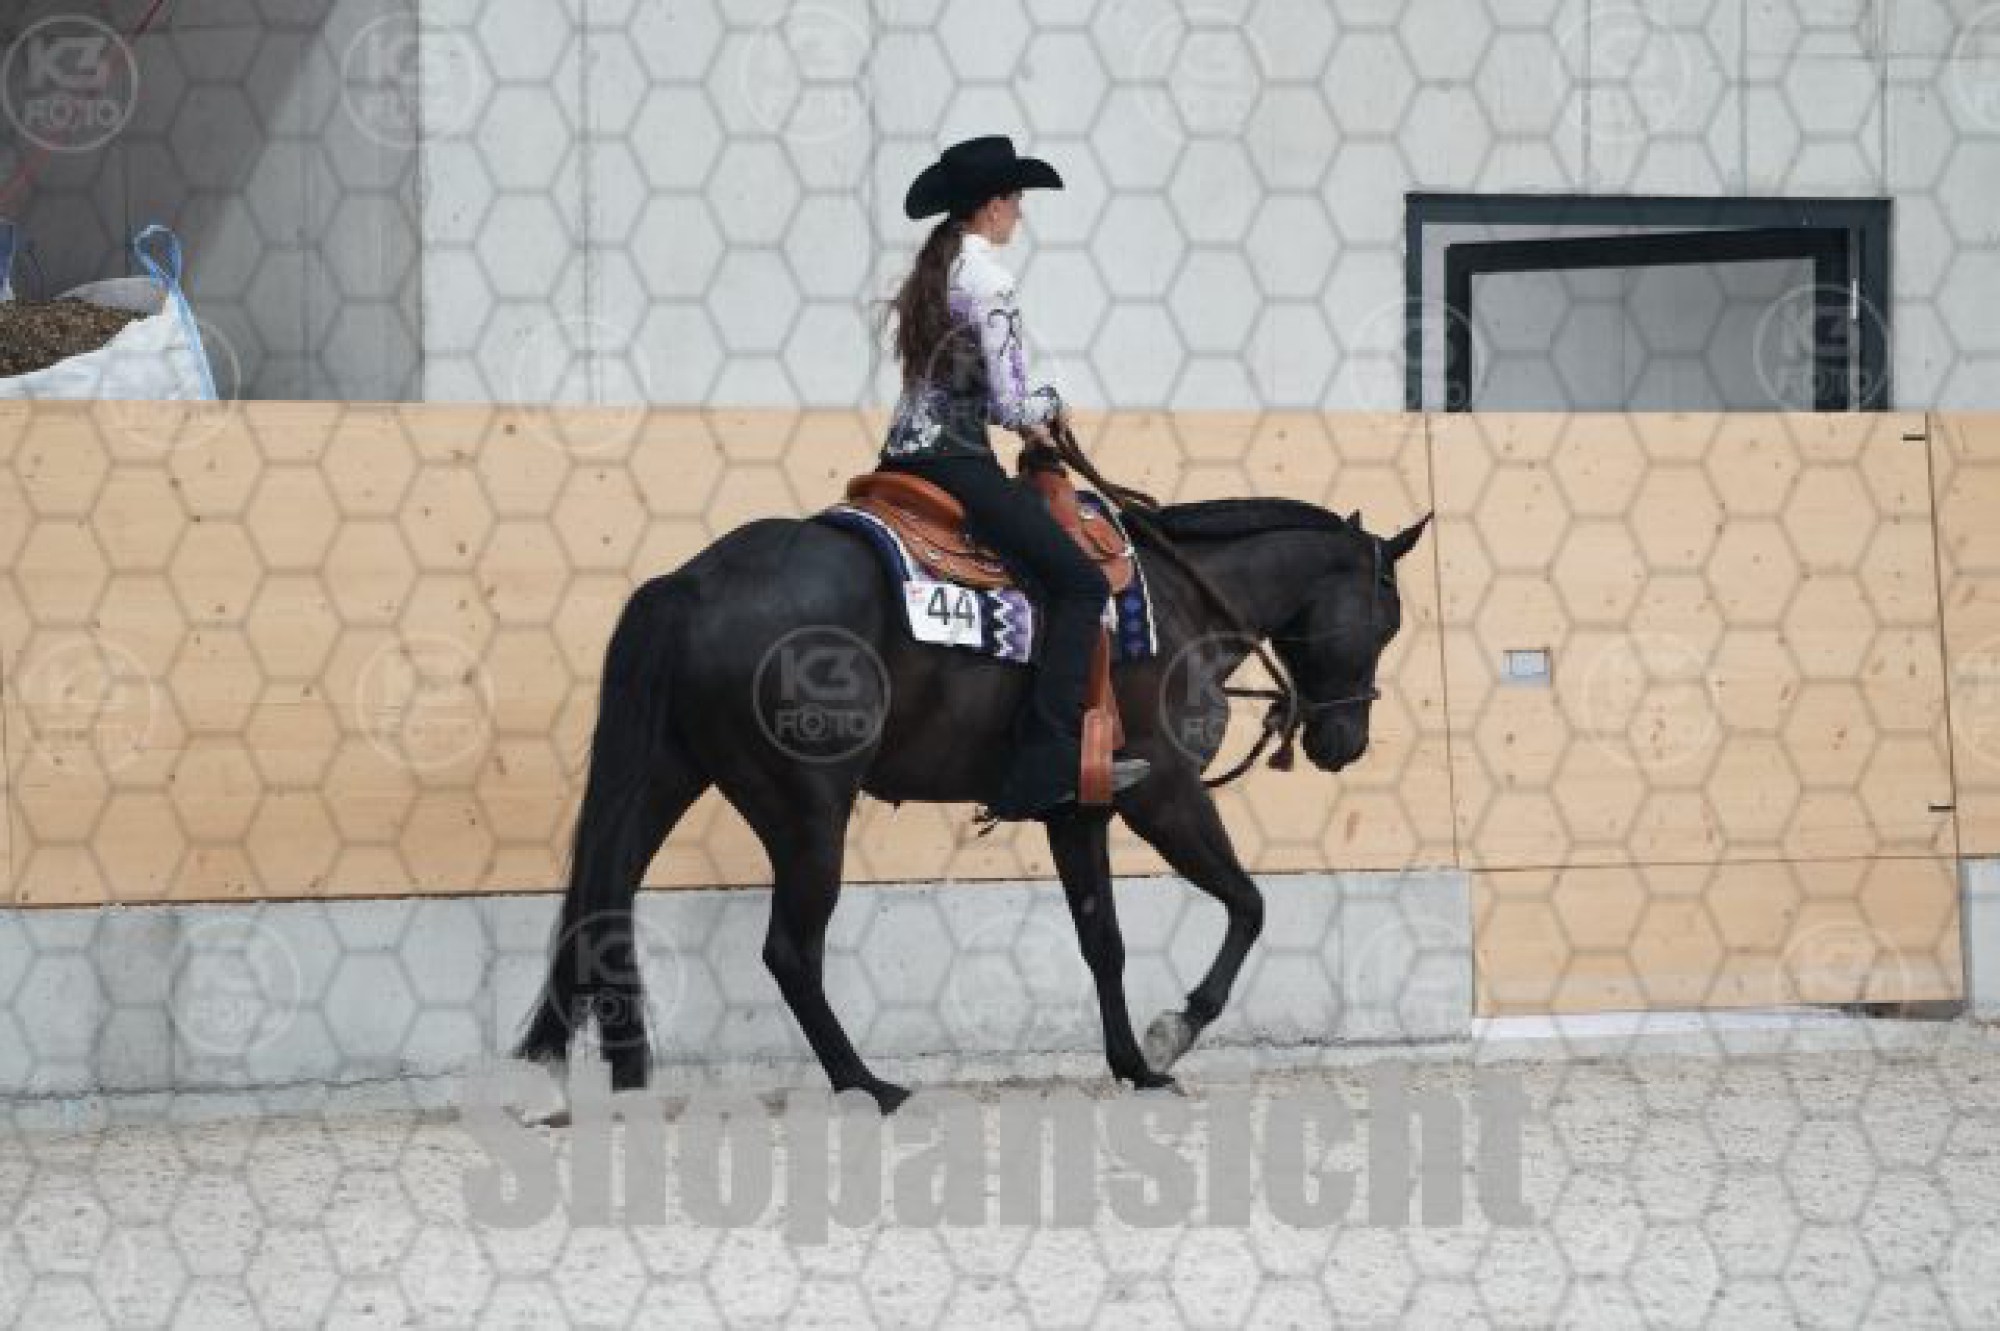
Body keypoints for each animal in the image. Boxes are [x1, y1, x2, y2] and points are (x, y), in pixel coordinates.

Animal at [515, 475, 1431, 1113]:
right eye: (1385, 620)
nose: (1344, 742)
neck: (1179, 604)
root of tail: (692, 584)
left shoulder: (1079, 810)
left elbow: (1105, 943)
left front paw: (1134, 1064)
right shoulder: (1165, 793)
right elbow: (1248, 903)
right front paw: (1174, 1032)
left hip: (666, 776)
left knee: (601, 901)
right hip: (807, 810)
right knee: (789, 951)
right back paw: (867, 1083)